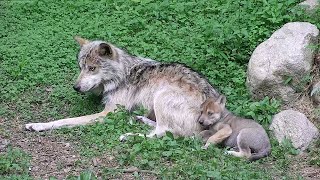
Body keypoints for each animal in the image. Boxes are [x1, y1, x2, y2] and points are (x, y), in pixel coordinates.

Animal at [24, 36, 220, 138]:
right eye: (80, 68)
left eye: (92, 68)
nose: (76, 87)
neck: (122, 75)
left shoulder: (108, 113)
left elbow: (66, 120)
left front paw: (38, 125)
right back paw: (140, 119)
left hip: (162, 96)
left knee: (162, 132)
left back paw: (128, 136)